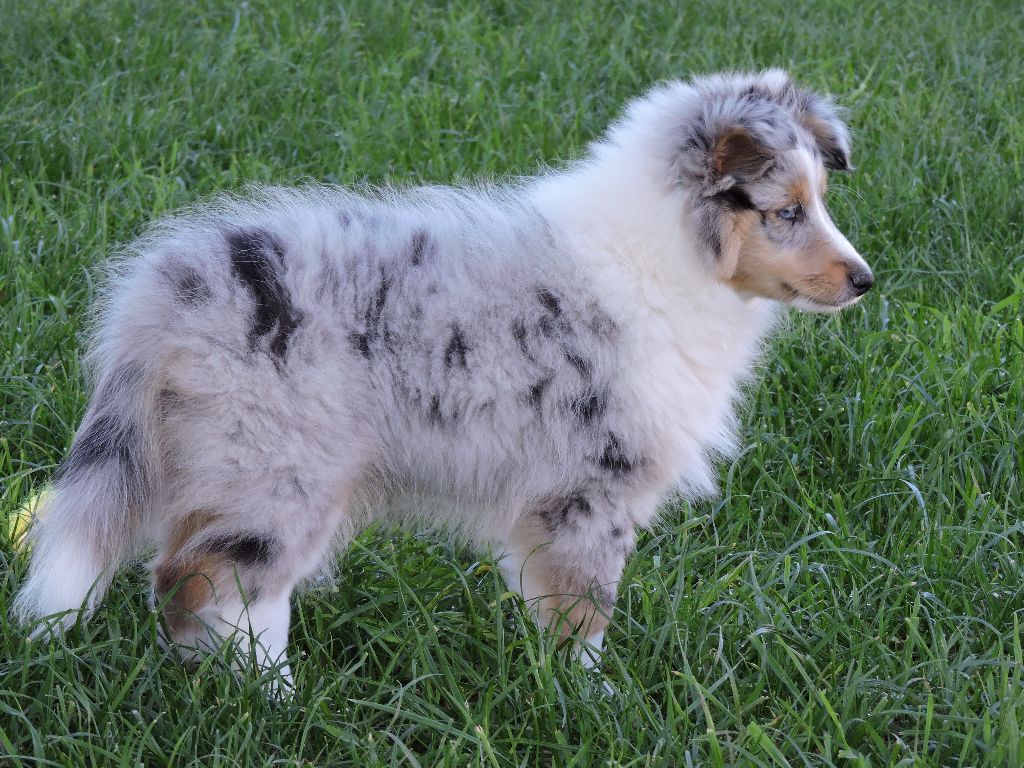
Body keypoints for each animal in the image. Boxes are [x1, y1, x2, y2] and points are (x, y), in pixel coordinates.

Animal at [13, 69, 872, 684]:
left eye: (821, 200)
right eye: (786, 212)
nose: (865, 280)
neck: (662, 254)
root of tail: (170, 289)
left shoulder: (548, 502)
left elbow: (546, 598)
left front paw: (555, 682)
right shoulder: (595, 485)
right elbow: (587, 607)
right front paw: (593, 700)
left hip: (229, 457)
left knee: (194, 575)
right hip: (284, 463)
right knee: (219, 577)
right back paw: (273, 699)